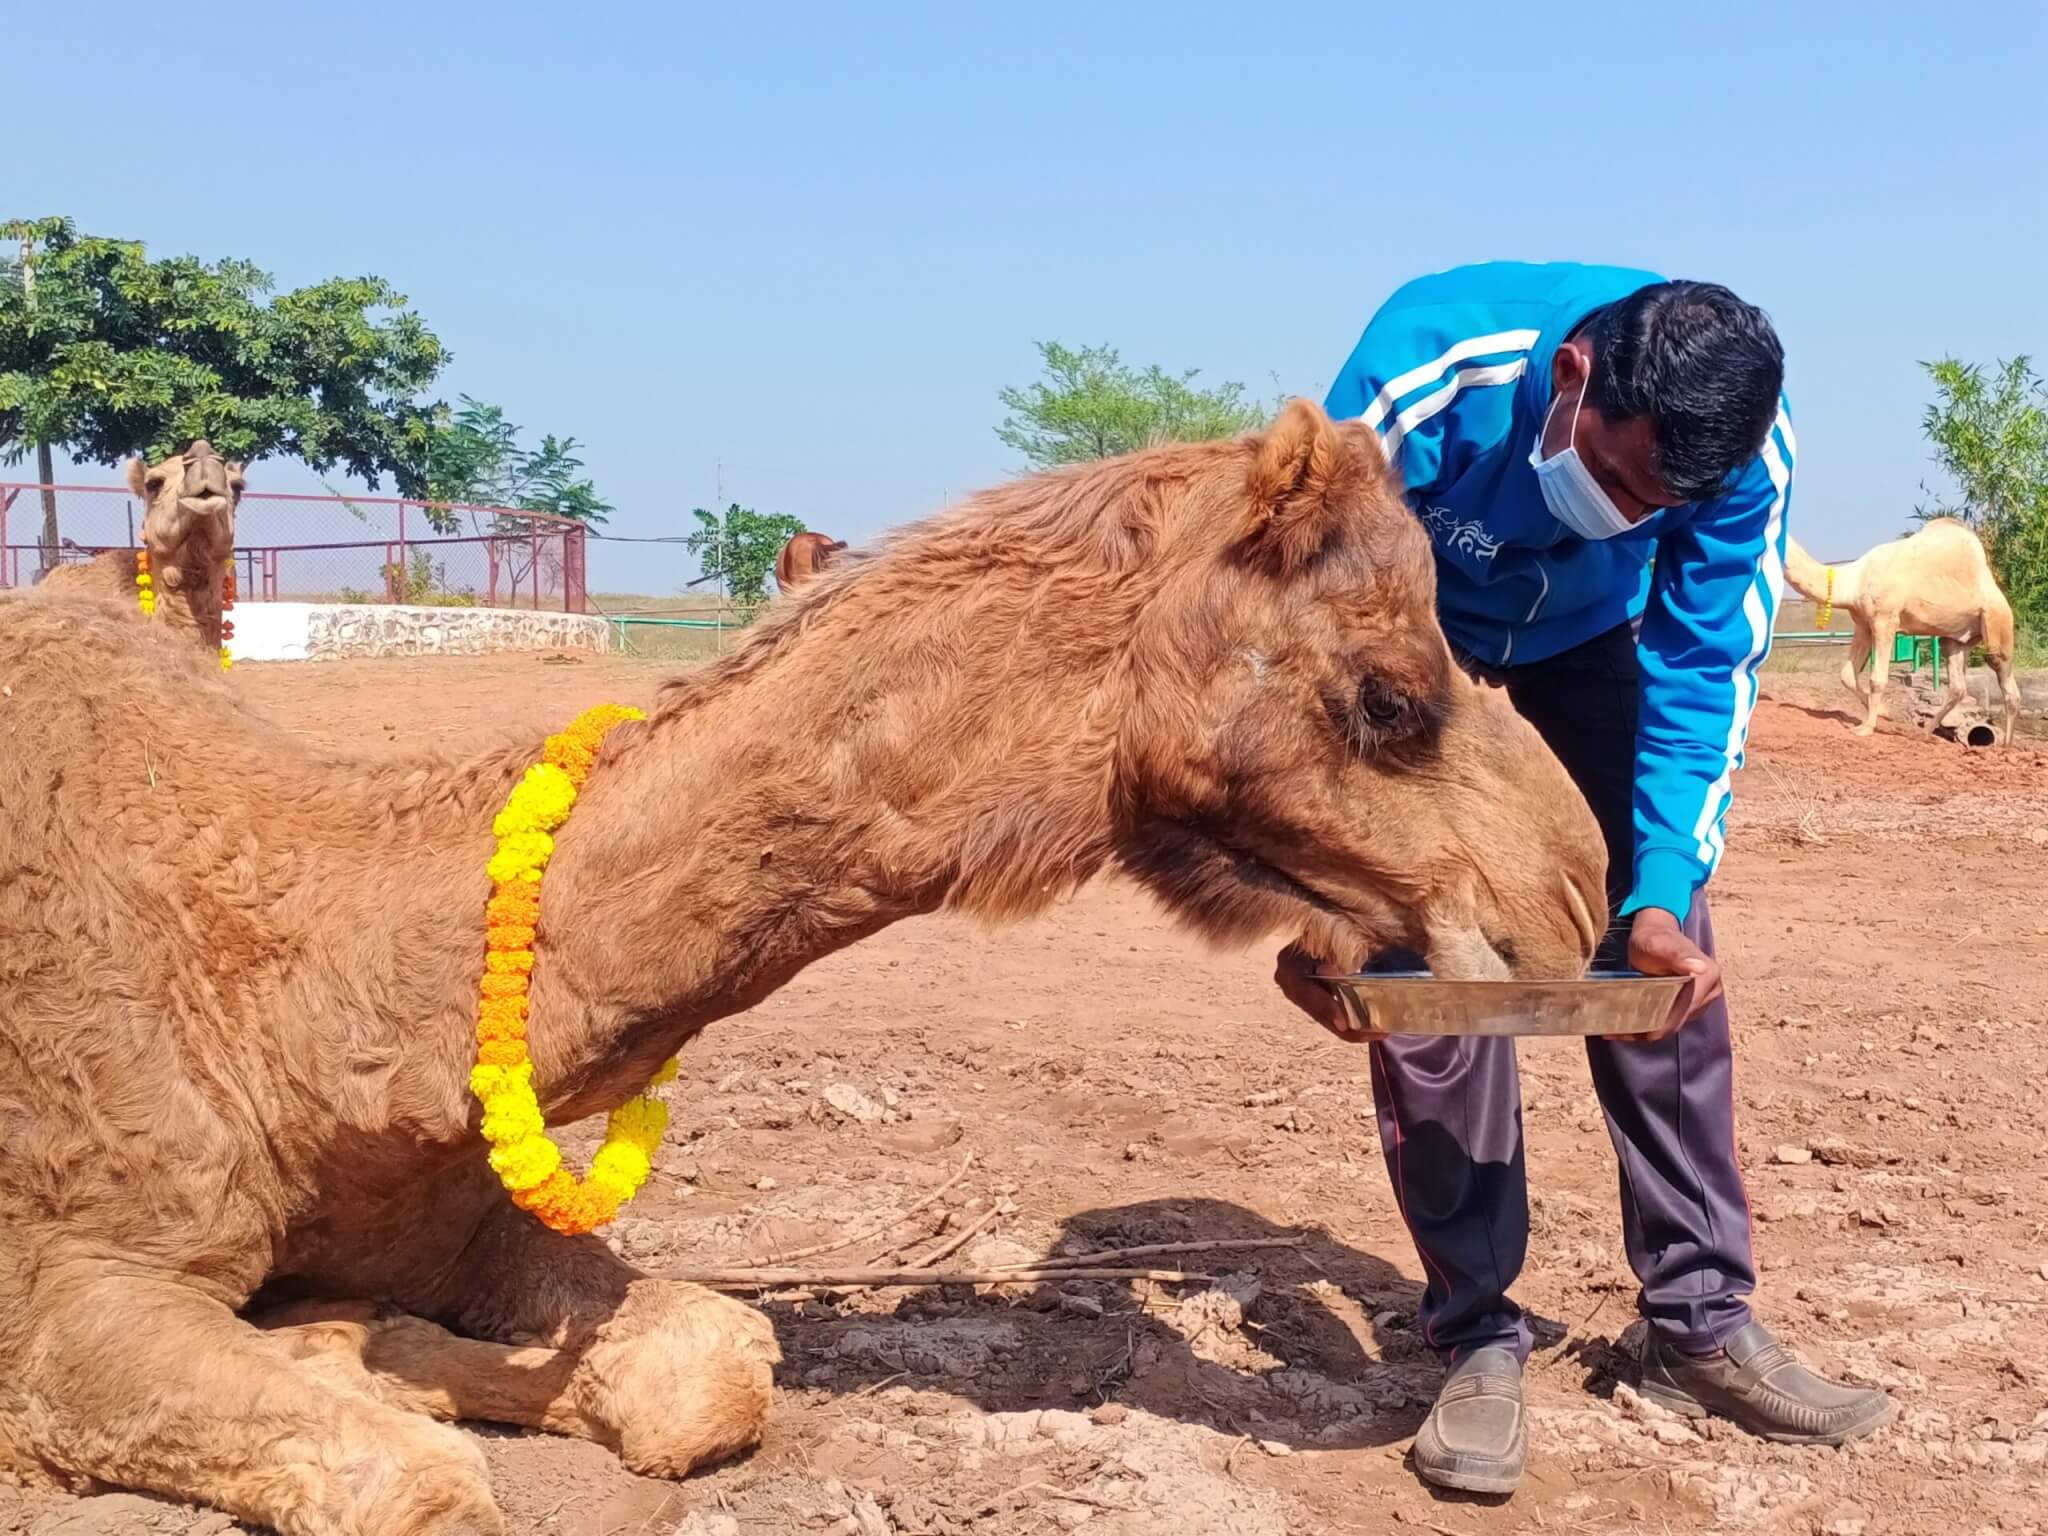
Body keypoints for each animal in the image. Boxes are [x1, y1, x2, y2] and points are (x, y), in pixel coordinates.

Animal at [1785, 524, 2023, 745]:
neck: (1854, 580)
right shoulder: (1863, 622)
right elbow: (1846, 675)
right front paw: (1884, 712)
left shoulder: (1885, 619)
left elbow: (1877, 679)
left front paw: (1866, 728)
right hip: (1955, 639)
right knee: (1958, 686)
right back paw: (1925, 732)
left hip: (1998, 620)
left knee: (2006, 680)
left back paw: (2005, 747)